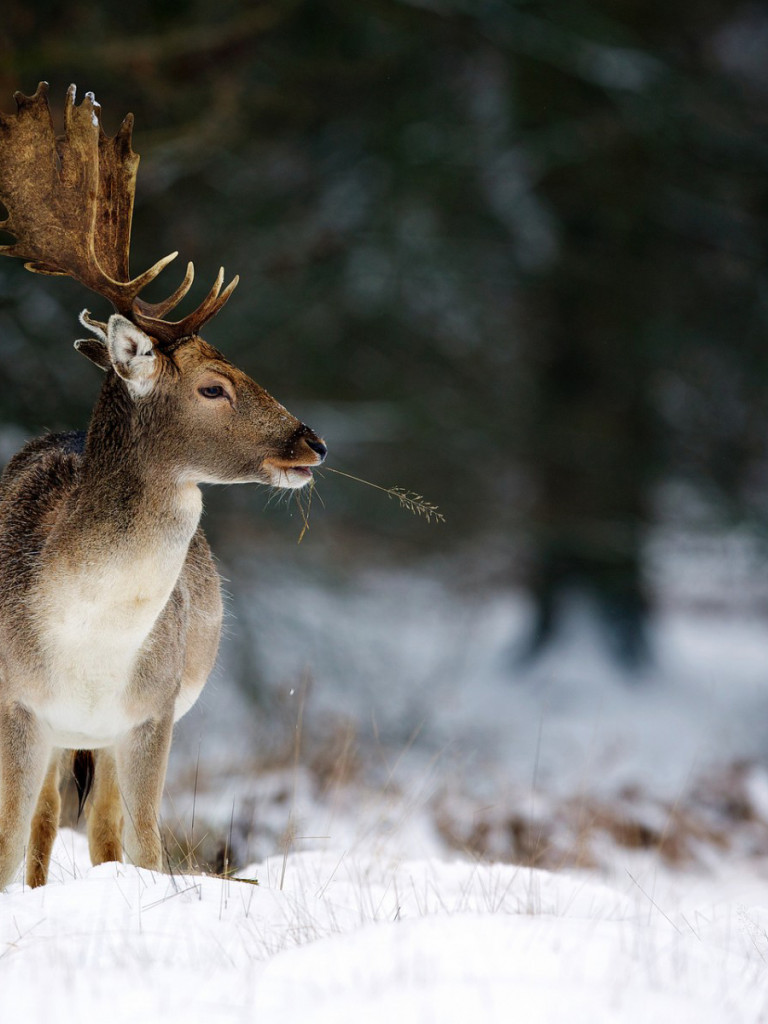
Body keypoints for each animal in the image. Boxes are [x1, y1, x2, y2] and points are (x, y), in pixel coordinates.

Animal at [0, 83, 327, 888]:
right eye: (213, 387)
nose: (312, 443)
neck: (87, 646)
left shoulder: (153, 712)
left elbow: (145, 845)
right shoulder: (16, 703)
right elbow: (7, 839)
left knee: (102, 830)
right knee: (46, 824)